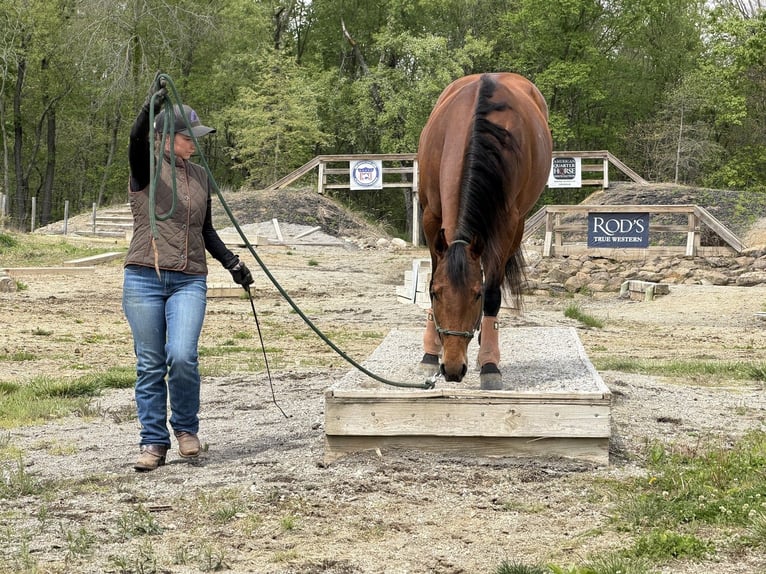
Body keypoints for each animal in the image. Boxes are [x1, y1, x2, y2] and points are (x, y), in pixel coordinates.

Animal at [417, 72, 552, 389]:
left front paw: (490, 364)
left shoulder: (506, 223)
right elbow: (432, 273)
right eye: (437, 295)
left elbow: (494, 292)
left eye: (476, 295)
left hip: (517, 224)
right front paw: (430, 354)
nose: (453, 369)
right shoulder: (430, 215)